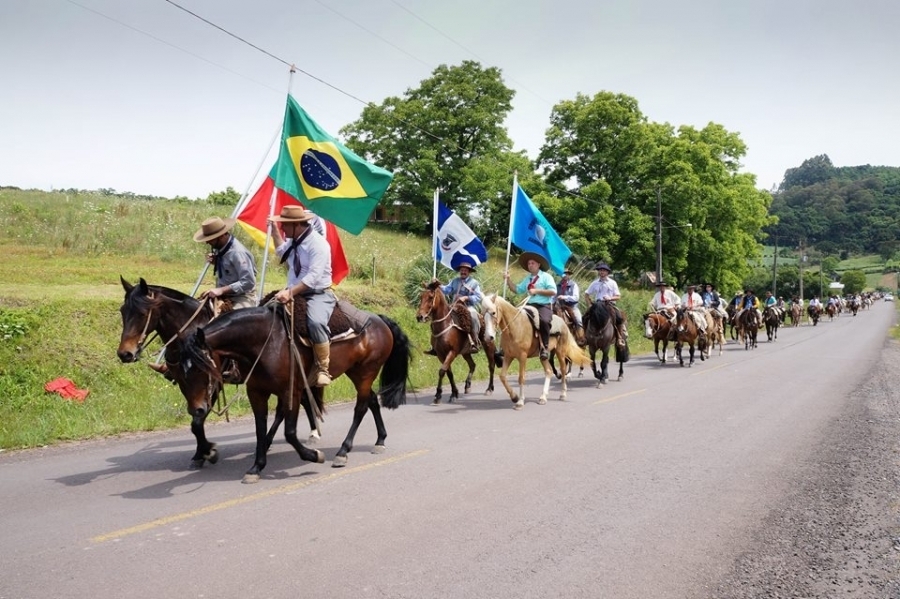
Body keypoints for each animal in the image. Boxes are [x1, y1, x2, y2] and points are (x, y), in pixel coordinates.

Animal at [116, 276, 308, 468]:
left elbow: (198, 420)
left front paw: (208, 451)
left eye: (142, 313)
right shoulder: (187, 384)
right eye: (122, 311)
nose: (125, 353)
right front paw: (200, 453)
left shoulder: (212, 384)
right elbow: (195, 417)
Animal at [182, 300, 412, 482]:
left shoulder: (290, 391)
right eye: (181, 371)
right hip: (355, 372)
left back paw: (342, 452)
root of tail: (380, 320)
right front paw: (256, 467)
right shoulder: (257, 392)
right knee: (372, 400)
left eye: (201, 367)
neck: (265, 342)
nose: (197, 410)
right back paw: (380, 440)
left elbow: (290, 433)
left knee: (361, 408)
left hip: (366, 372)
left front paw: (314, 455)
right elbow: (260, 429)